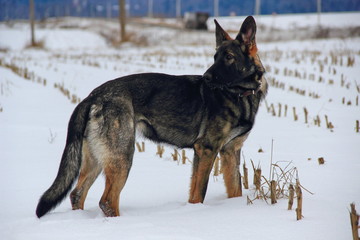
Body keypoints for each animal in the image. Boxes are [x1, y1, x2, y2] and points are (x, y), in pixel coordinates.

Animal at [36, 15, 268, 218]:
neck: (239, 94)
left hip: (97, 159)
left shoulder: (230, 152)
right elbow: (199, 193)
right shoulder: (207, 149)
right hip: (122, 156)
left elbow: (234, 188)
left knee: (77, 194)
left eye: (228, 58)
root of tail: (93, 96)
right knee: (107, 200)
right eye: (215, 58)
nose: (206, 77)